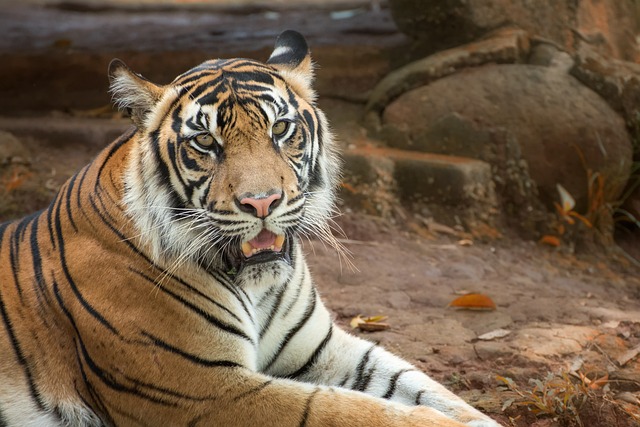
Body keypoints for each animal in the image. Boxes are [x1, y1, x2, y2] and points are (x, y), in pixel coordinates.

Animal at [0, 30, 500, 427]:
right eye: (205, 141)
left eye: (281, 129)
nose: (262, 202)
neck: (255, 286)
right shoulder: (204, 389)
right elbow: (344, 410)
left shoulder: (324, 349)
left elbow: (425, 387)